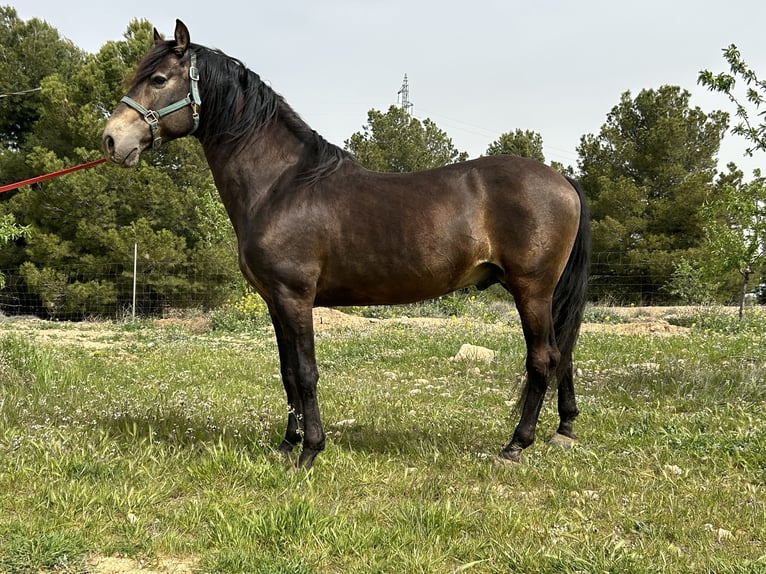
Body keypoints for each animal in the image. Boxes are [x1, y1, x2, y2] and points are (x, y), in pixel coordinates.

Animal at [103, 20, 592, 470]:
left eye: (158, 79)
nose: (111, 139)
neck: (281, 185)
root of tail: (564, 180)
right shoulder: (274, 302)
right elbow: (287, 373)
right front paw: (286, 445)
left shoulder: (295, 297)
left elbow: (305, 373)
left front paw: (310, 451)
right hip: (541, 293)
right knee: (564, 353)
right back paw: (564, 429)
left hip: (531, 290)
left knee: (544, 358)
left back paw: (516, 445)